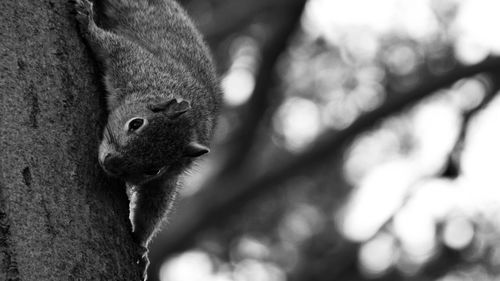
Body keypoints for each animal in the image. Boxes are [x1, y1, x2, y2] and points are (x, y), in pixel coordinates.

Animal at [73, 0, 221, 250]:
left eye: (154, 170)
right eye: (135, 124)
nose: (111, 163)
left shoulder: (166, 179)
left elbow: (154, 205)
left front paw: (140, 243)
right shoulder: (135, 65)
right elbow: (110, 45)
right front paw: (88, 22)